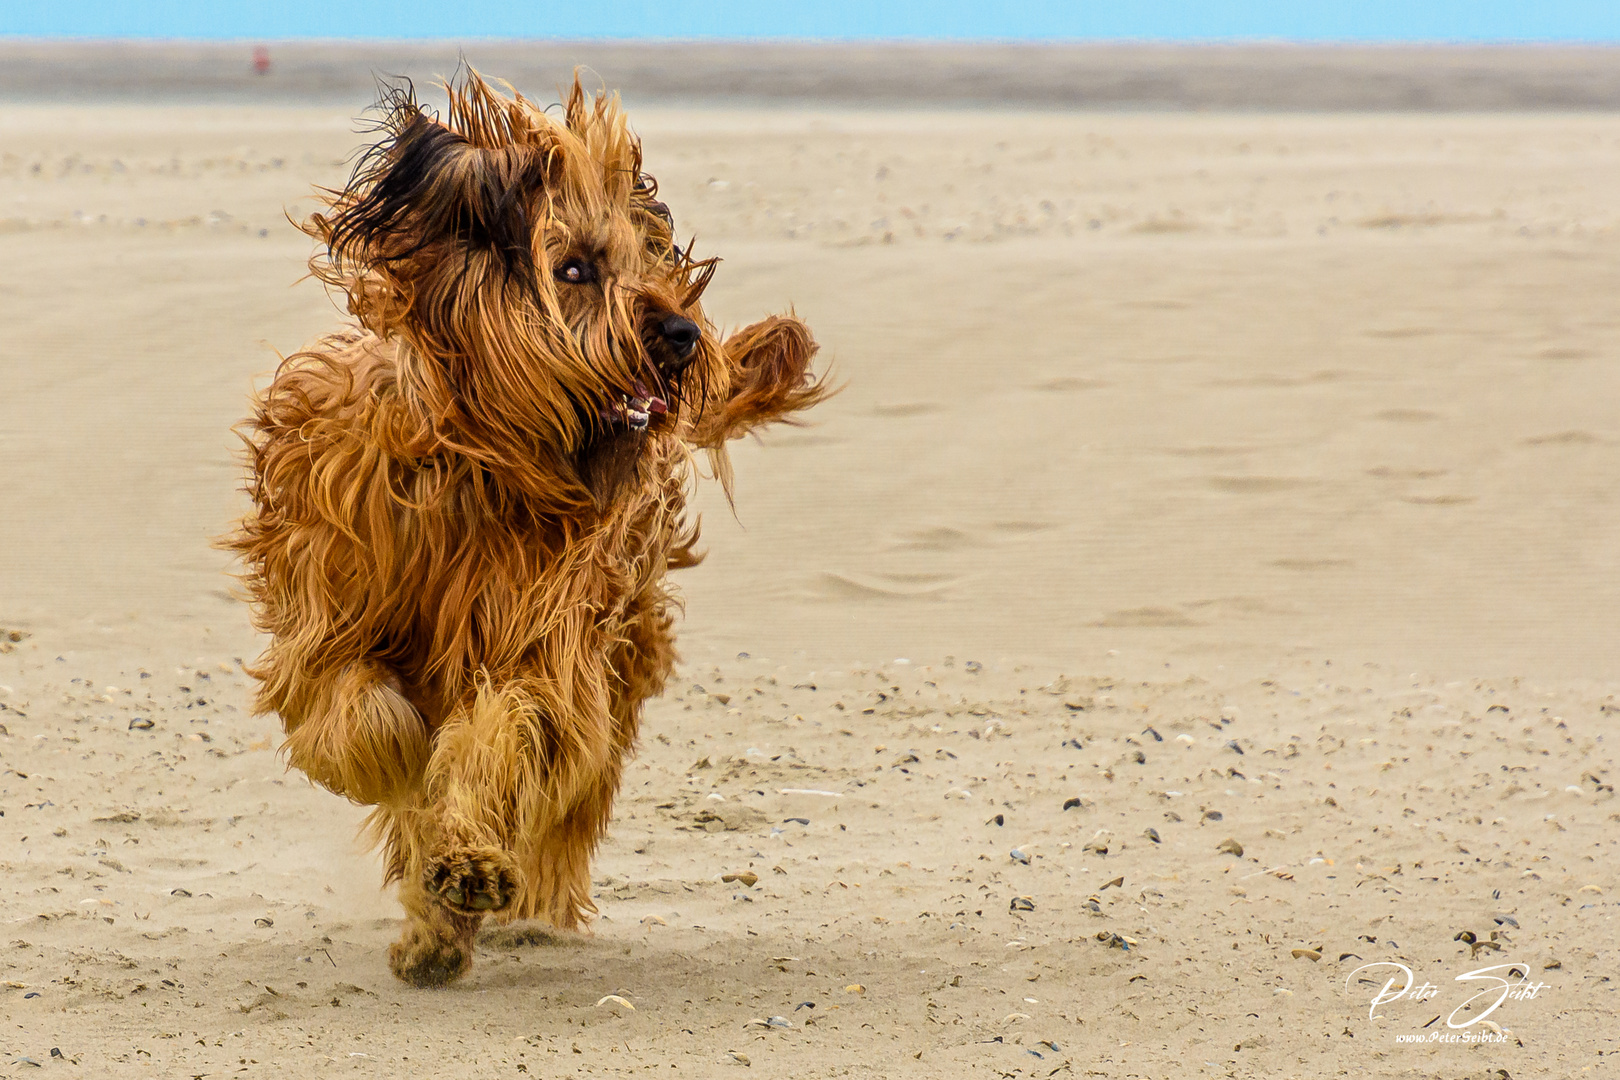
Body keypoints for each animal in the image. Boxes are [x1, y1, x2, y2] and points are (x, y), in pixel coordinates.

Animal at [228, 74, 829, 990]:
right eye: (574, 268)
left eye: (645, 263)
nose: (684, 333)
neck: (476, 464)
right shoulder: (324, 621)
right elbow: (367, 719)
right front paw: (414, 794)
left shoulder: (548, 635)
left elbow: (503, 735)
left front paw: (466, 861)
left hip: (621, 645)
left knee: (574, 794)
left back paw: (508, 911)